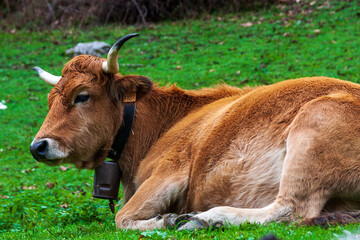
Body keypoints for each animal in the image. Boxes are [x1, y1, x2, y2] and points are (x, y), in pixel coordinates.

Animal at [30, 34, 360, 231]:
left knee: (290, 209)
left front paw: (167, 219)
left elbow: (121, 218)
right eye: (49, 100)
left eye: (82, 96)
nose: (38, 146)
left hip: (313, 125)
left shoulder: (170, 172)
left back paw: (206, 218)